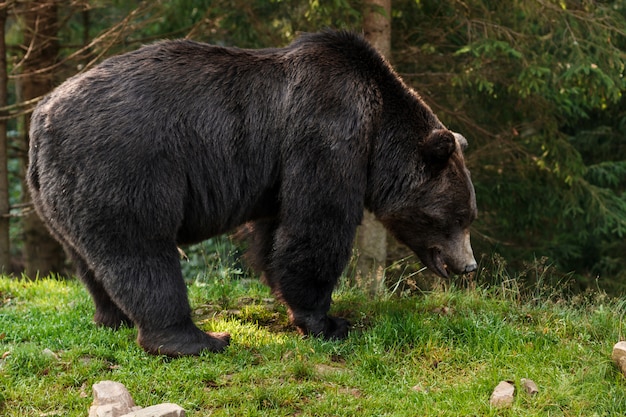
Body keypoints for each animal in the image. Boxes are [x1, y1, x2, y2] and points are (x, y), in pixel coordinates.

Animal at [28, 29, 472, 356]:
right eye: (458, 217)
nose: (468, 266)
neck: (378, 129)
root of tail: (41, 117)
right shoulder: (328, 131)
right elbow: (317, 225)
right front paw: (330, 322)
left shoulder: (280, 173)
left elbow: (276, 233)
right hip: (125, 165)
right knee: (142, 251)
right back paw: (198, 339)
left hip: (60, 193)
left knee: (89, 259)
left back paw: (112, 318)